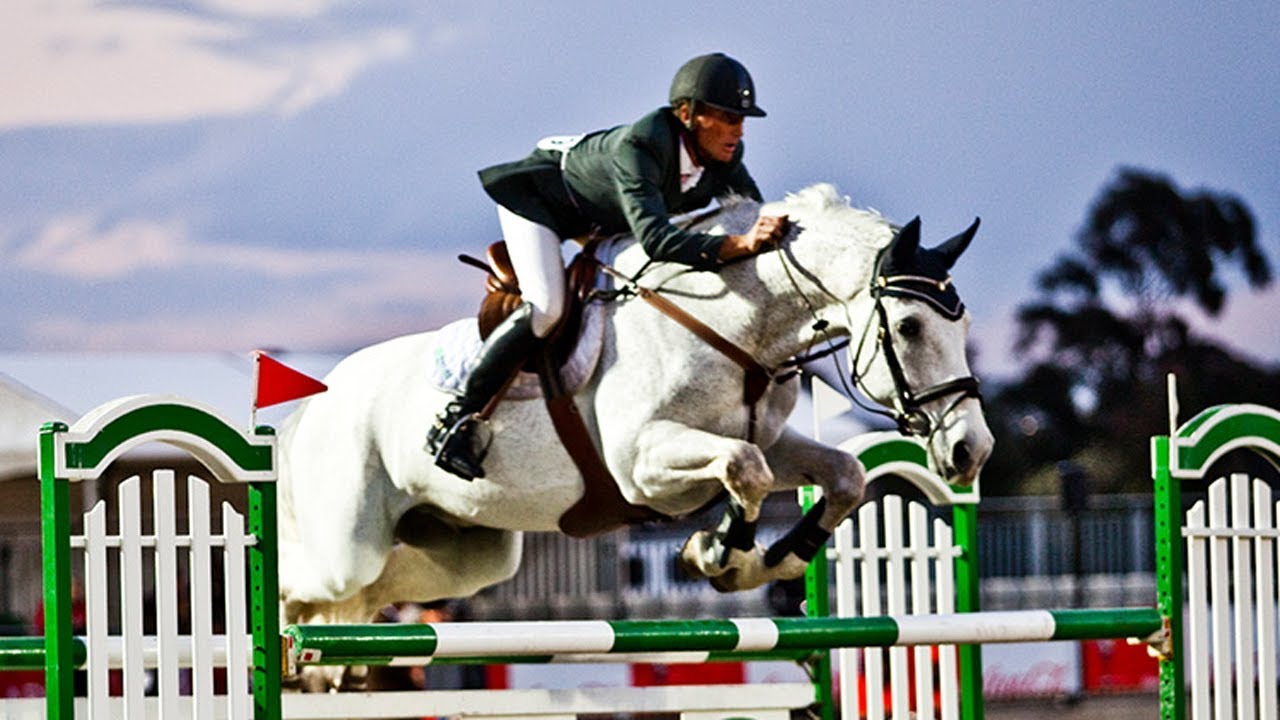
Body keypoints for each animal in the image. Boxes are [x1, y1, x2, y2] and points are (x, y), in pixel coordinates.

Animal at [276, 183, 993, 634]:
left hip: (467, 548)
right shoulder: (641, 468)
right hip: (349, 540)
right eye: (909, 327)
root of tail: (313, 404)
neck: (737, 324)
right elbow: (746, 467)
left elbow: (841, 474)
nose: (971, 450)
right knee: (312, 581)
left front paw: (767, 559)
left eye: (963, 324)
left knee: (380, 589)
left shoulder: (774, 439)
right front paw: (724, 554)